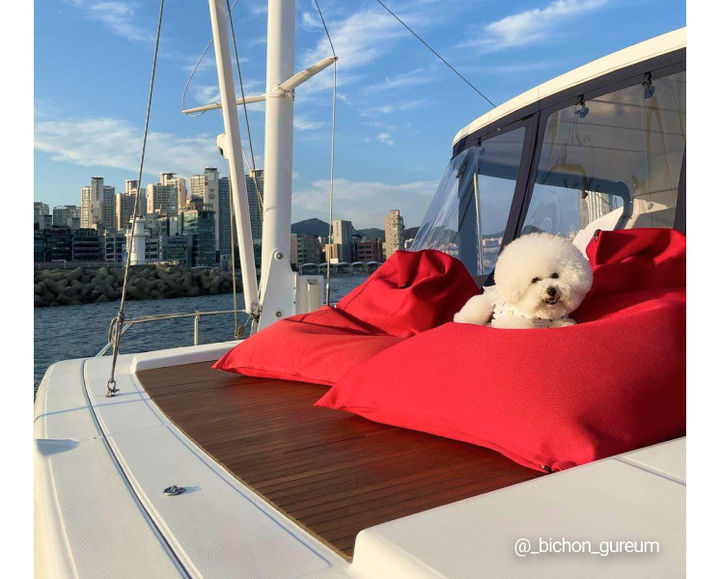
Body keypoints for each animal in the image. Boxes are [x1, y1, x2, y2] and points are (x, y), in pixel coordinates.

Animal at [452, 232, 592, 330]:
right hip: (481, 308)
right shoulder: (512, 322)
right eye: (535, 280)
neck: (541, 317)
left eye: (555, 275)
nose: (551, 290)